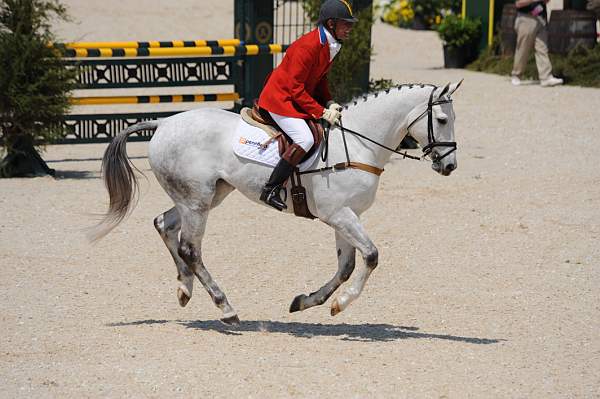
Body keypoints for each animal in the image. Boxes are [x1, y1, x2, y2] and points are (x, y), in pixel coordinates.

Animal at [94, 81, 462, 324]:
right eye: (443, 120)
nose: (449, 166)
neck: (359, 144)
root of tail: (165, 122)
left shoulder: (346, 216)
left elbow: (345, 267)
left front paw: (307, 302)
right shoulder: (339, 214)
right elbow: (371, 256)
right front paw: (341, 304)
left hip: (206, 196)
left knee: (164, 225)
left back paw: (185, 289)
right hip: (197, 201)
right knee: (190, 249)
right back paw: (225, 307)